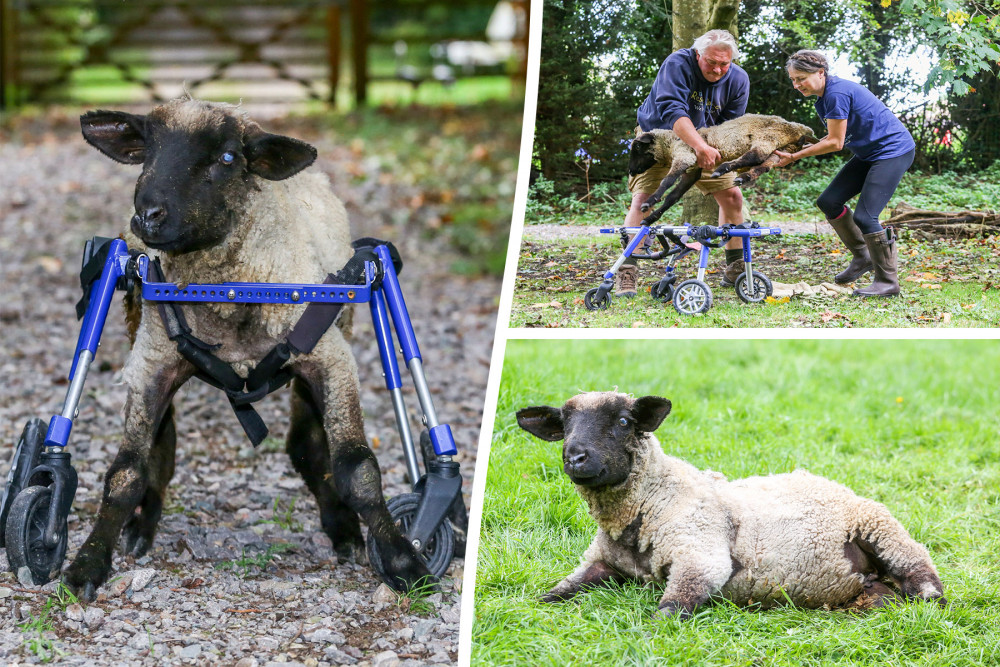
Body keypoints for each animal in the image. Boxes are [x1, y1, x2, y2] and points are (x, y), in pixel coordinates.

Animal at [516, 392, 944, 620]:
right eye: (564, 426)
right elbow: (555, 593)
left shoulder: (700, 555)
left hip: (880, 528)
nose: (575, 457)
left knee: (921, 572)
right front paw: (530, 606)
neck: (653, 499)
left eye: (623, 421)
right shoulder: (599, 562)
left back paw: (927, 599)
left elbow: (669, 610)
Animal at [628, 113, 816, 220]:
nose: (630, 170)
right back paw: (743, 177)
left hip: (768, 137)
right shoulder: (693, 171)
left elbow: (667, 181)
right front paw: (651, 218)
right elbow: (673, 197)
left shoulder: (685, 155)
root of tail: (802, 130)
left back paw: (723, 169)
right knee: (764, 165)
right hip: (783, 149)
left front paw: (649, 202)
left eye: (637, 148)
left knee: (756, 156)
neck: (670, 143)